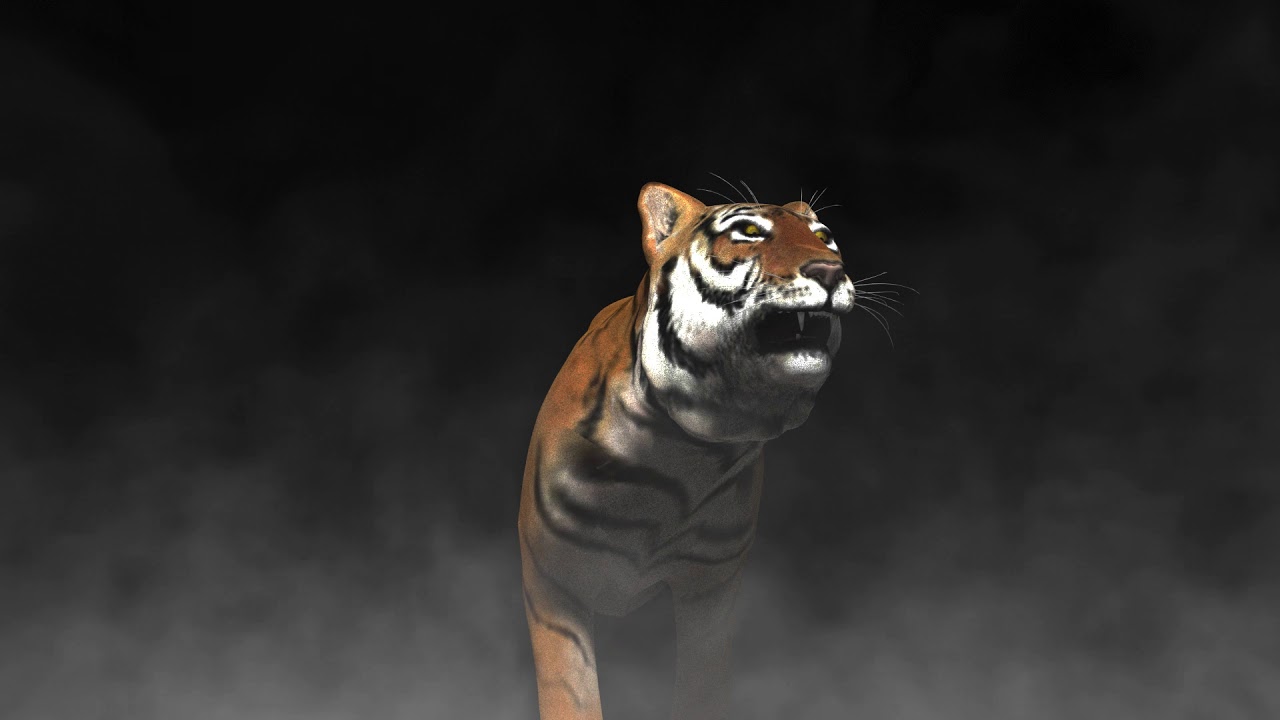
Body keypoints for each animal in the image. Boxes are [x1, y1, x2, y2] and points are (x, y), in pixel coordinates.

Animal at [518, 182, 856, 720]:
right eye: (748, 231)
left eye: (825, 237)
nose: (829, 270)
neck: (679, 453)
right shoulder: (553, 582)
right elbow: (568, 692)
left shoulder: (711, 587)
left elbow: (702, 684)